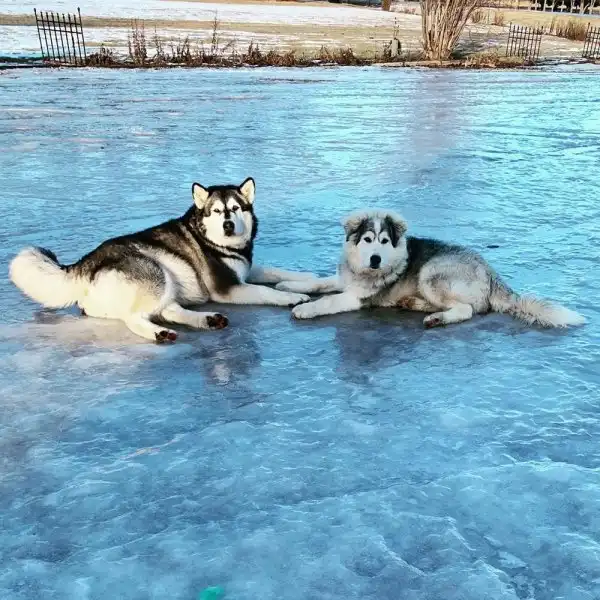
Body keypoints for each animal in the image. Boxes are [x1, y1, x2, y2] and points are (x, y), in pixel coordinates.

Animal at [9, 178, 313, 342]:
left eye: (236, 208)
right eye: (216, 211)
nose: (228, 225)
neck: (217, 244)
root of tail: (86, 262)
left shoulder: (245, 271)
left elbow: (276, 272)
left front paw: (303, 280)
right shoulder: (228, 288)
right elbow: (265, 291)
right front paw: (292, 298)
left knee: (169, 310)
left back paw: (207, 320)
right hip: (156, 272)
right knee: (135, 317)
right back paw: (160, 334)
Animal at [275, 209, 585, 329]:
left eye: (384, 241)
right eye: (367, 240)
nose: (375, 259)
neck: (364, 271)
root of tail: (490, 272)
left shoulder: (356, 297)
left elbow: (328, 300)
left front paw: (305, 308)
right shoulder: (345, 280)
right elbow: (318, 282)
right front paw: (289, 287)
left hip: (431, 274)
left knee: (466, 310)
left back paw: (437, 318)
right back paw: (414, 304)